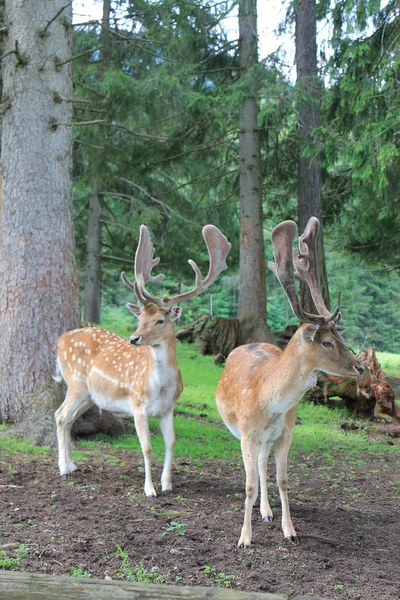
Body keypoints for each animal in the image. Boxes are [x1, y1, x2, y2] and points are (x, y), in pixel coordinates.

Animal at [55, 225, 231, 496]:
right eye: (140, 318)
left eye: (160, 320)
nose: (134, 338)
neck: (160, 386)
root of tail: (59, 340)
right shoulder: (138, 406)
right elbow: (147, 448)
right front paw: (150, 489)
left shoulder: (168, 408)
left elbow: (171, 442)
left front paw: (167, 484)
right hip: (75, 382)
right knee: (60, 415)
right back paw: (63, 468)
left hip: (89, 394)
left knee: (67, 418)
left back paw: (72, 465)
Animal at [217, 218, 364, 548]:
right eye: (326, 342)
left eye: (340, 338)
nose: (360, 366)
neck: (267, 401)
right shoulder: (247, 433)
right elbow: (248, 485)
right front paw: (244, 539)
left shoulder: (285, 433)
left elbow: (283, 480)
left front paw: (290, 530)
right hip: (243, 432)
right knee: (254, 470)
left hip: (269, 438)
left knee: (262, 465)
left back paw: (266, 511)